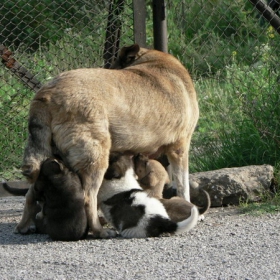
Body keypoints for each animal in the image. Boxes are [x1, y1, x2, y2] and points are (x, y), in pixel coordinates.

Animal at [17, 43, 199, 238]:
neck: (154, 61)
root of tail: (47, 94)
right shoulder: (179, 149)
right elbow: (183, 186)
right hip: (96, 159)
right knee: (89, 198)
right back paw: (99, 230)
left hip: (46, 161)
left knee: (31, 194)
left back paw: (24, 226)